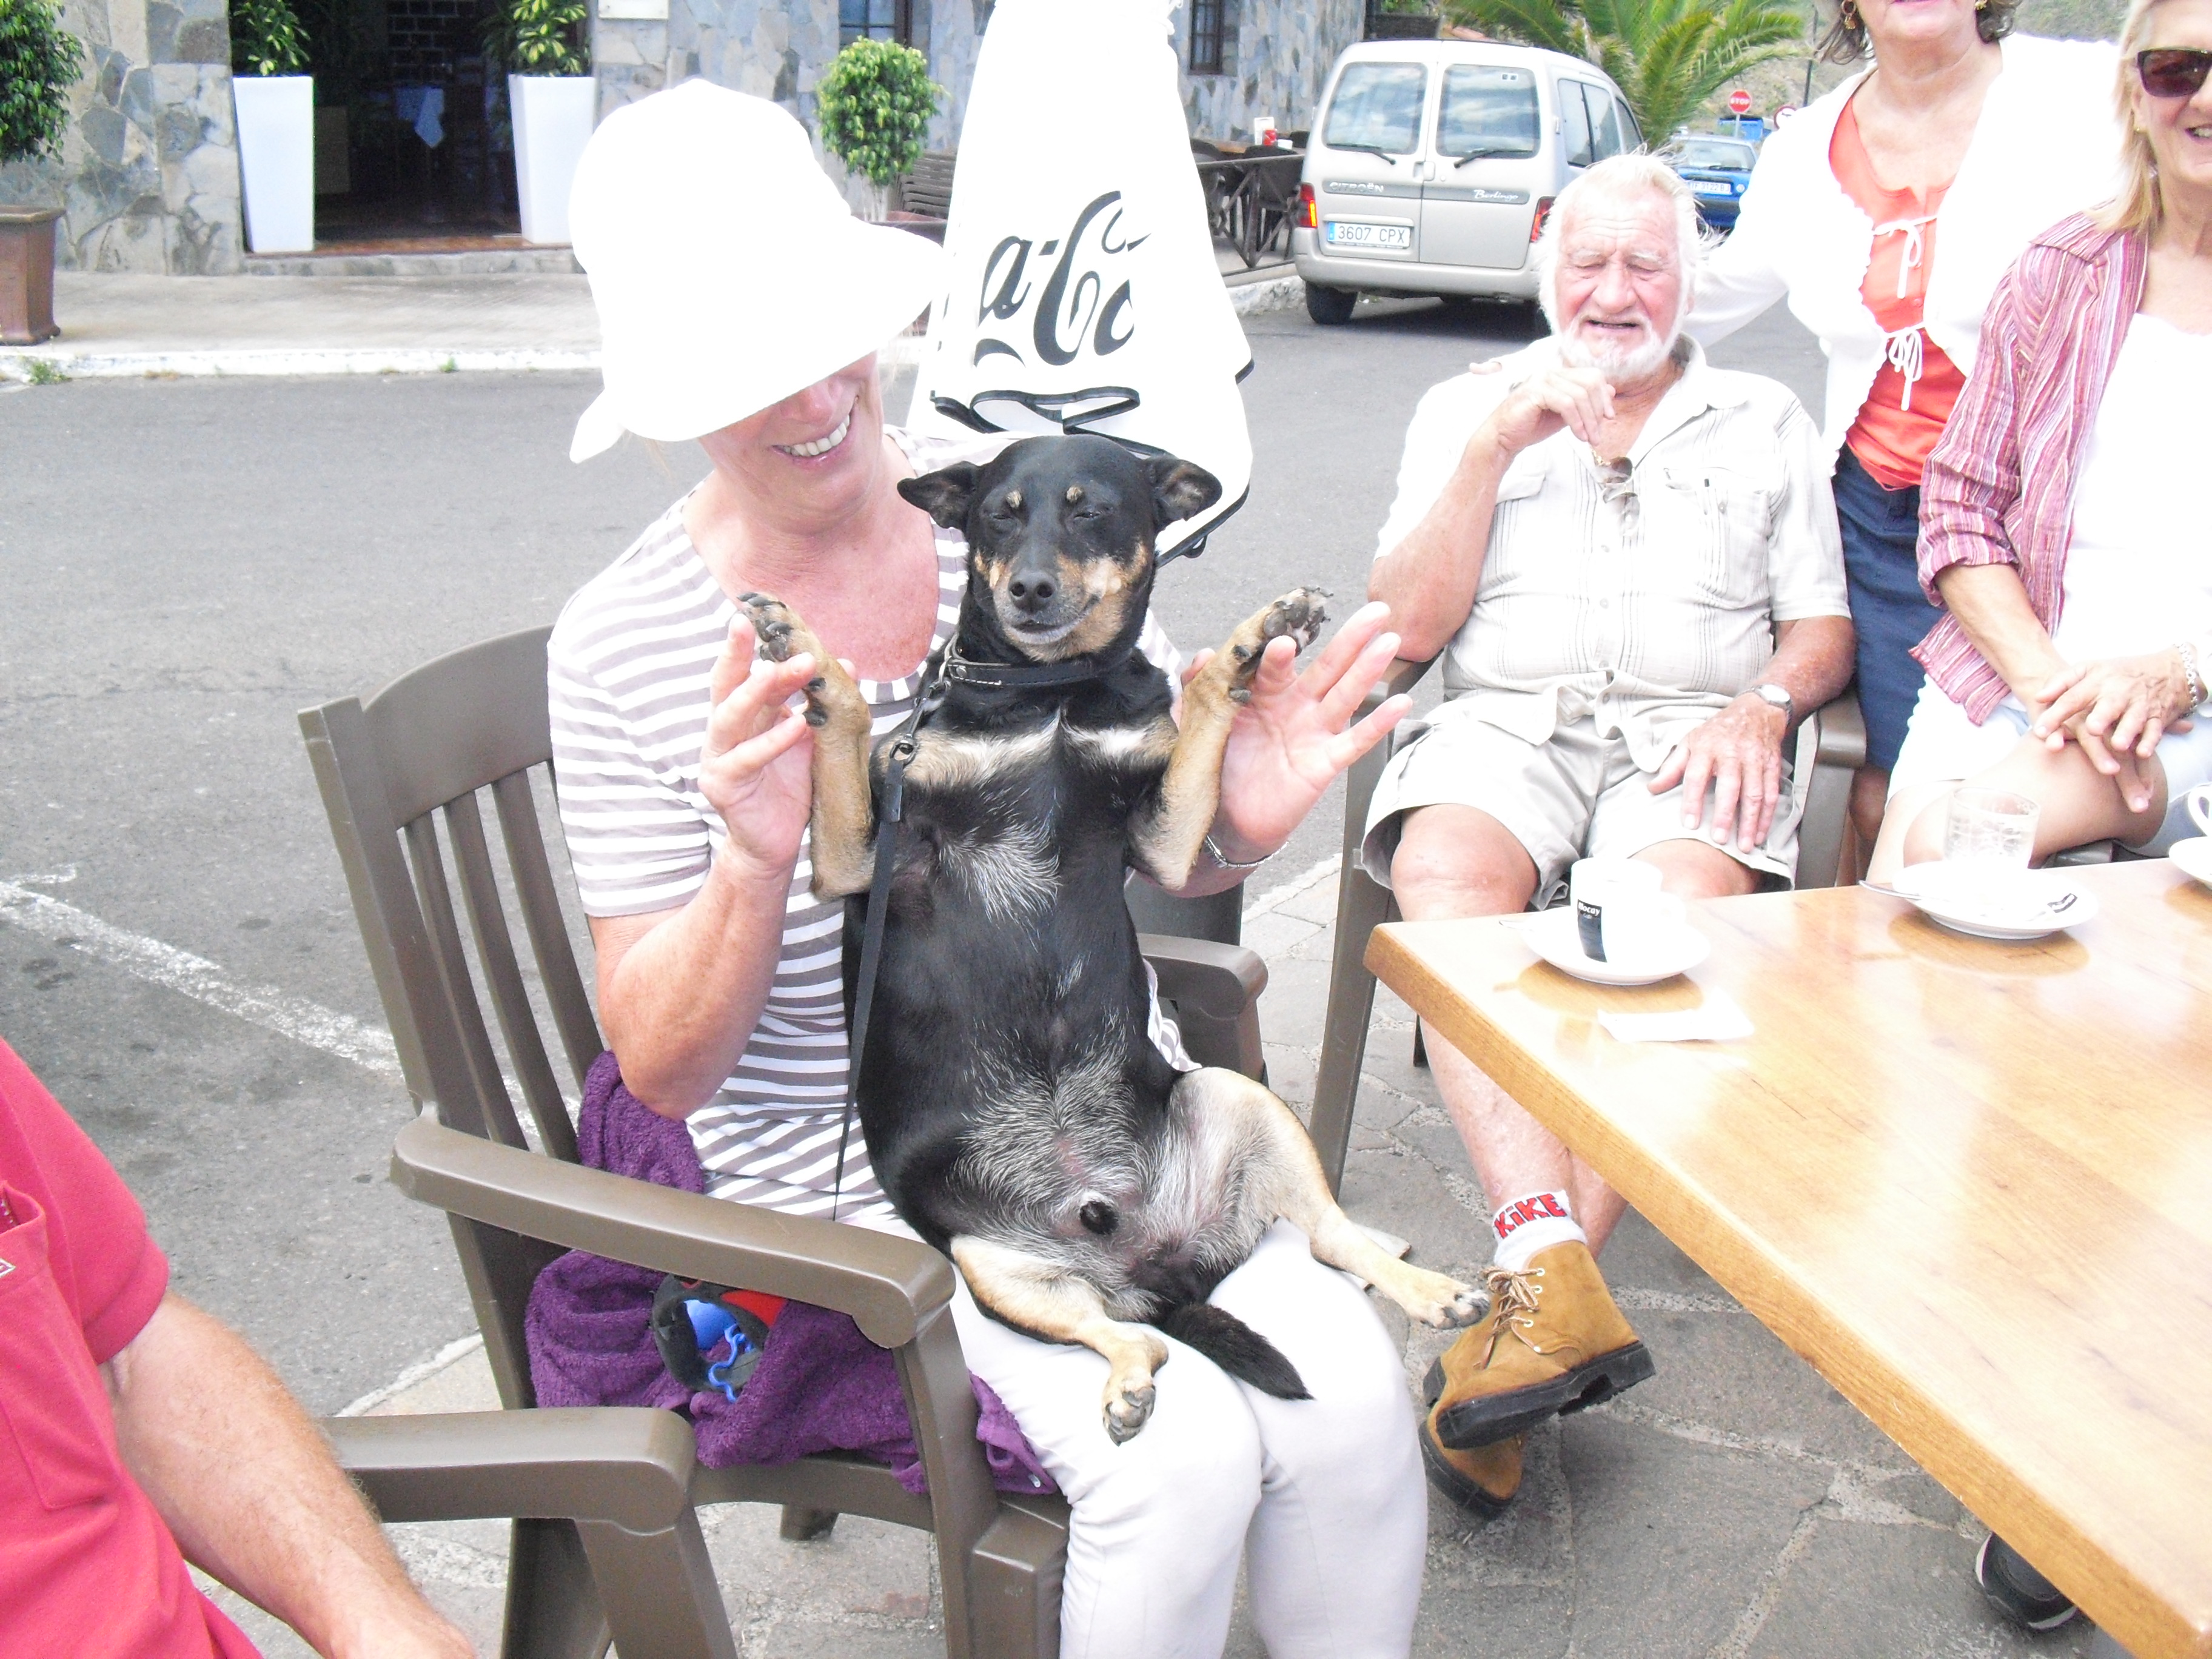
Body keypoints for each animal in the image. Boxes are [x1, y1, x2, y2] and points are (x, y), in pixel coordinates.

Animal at [739, 435, 1486, 1451]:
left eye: (1090, 509)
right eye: (1000, 514)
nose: (1030, 589)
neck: (1052, 690)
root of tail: (1152, 1258)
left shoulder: (1163, 839)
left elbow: (1204, 703)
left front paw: (1257, 640)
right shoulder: (863, 857)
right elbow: (848, 712)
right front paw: (804, 652)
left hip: (1233, 1099)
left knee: (1330, 1239)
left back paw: (1433, 1290)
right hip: (990, 1265)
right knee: (1135, 1341)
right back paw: (1130, 1386)